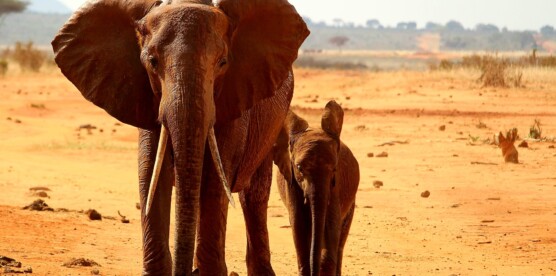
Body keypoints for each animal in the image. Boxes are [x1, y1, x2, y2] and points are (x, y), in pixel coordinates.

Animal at [274, 101, 360, 276]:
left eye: (334, 169)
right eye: (299, 168)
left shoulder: (335, 187)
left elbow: (331, 227)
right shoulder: (291, 183)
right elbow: (298, 226)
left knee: (340, 242)